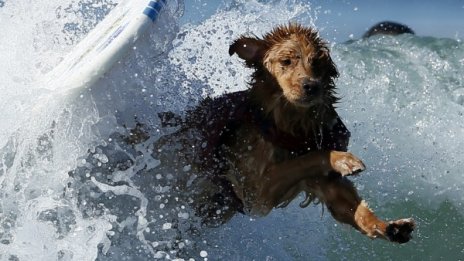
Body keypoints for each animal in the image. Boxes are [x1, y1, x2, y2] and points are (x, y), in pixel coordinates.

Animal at [154, 23, 416, 243]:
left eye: (316, 63)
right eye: (286, 61)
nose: (311, 86)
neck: (288, 123)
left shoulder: (323, 183)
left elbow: (353, 208)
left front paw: (388, 227)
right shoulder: (255, 192)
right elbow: (309, 158)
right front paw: (343, 159)